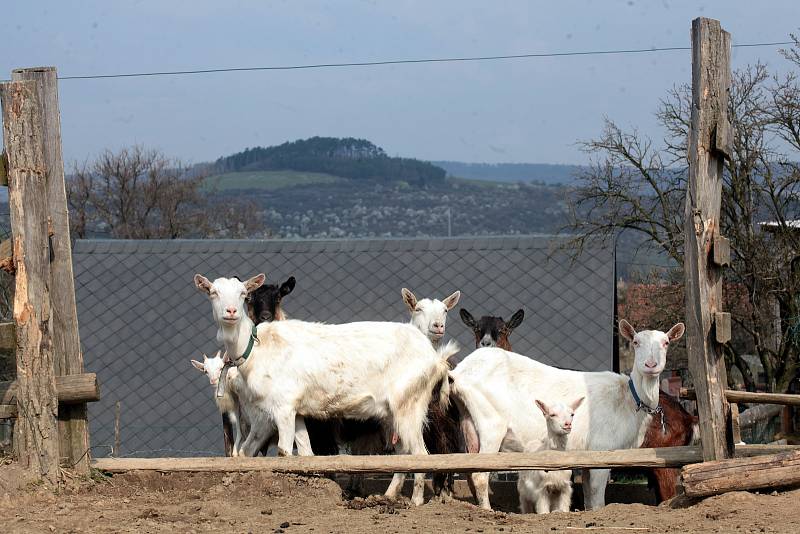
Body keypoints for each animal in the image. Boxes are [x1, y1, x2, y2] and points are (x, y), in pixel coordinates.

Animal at [194, 276, 460, 506]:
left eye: (243, 294)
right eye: (213, 292)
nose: (231, 312)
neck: (256, 347)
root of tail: (435, 359)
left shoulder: (282, 407)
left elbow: (283, 451)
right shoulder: (295, 412)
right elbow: (304, 452)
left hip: (410, 404)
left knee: (421, 453)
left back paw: (415, 500)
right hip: (393, 413)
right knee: (403, 451)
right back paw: (389, 495)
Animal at [454, 320, 684, 512]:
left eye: (666, 342)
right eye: (636, 342)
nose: (651, 365)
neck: (629, 399)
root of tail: (460, 372)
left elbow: (589, 496)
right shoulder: (602, 449)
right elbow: (597, 496)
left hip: (468, 421)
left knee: (470, 471)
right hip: (491, 423)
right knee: (480, 475)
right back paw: (487, 511)